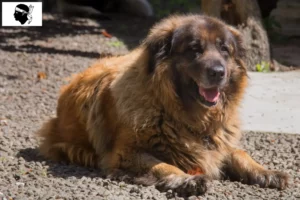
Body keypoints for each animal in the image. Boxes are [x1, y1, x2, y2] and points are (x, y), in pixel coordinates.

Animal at [36, 14, 290, 196]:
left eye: (224, 49)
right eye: (194, 49)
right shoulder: (125, 154)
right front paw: (187, 179)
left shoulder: (219, 143)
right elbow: (162, 165)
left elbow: (240, 154)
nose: (219, 72)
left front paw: (266, 172)